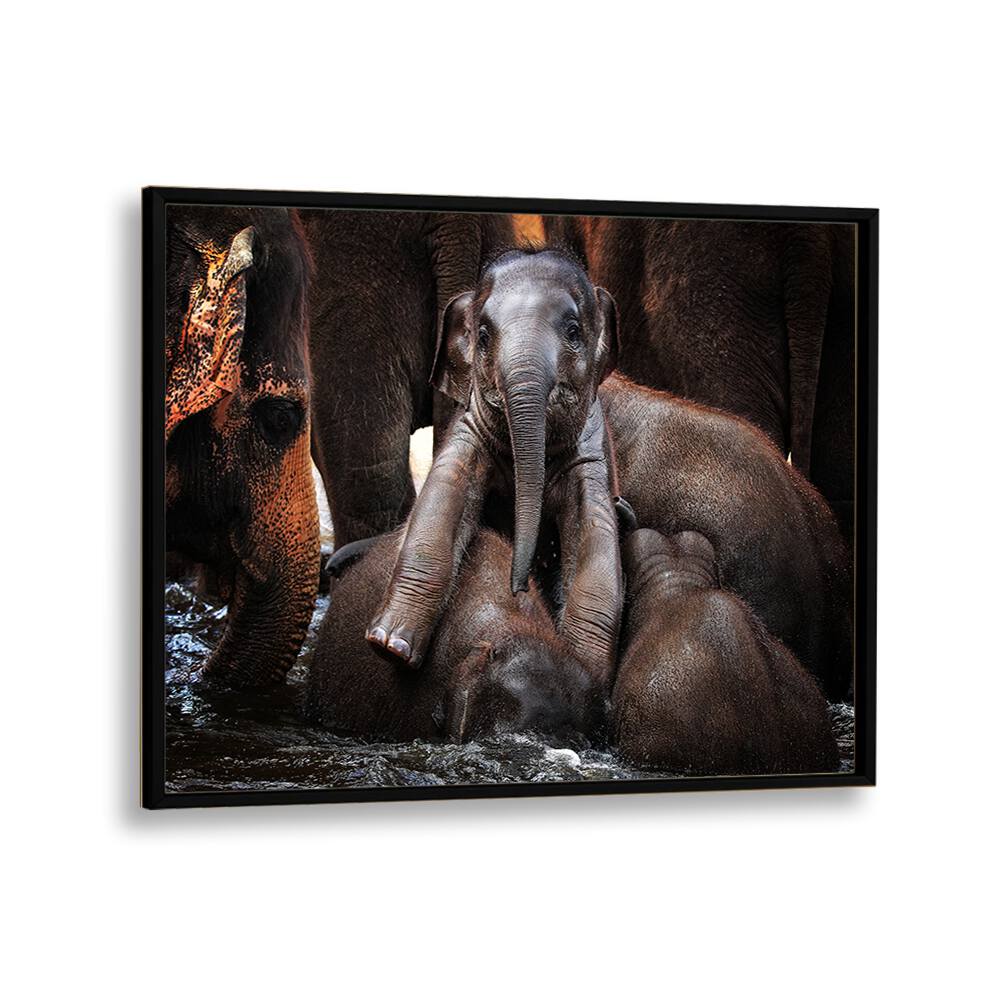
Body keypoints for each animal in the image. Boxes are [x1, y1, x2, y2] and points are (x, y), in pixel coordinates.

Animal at [363, 248, 624, 688]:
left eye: (573, 331)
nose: (518, 587)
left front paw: (582, 671)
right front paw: (389, 646)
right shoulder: (468, 429)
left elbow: (596, 534)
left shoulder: (592, 453)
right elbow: (444, 496)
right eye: (483, 336)